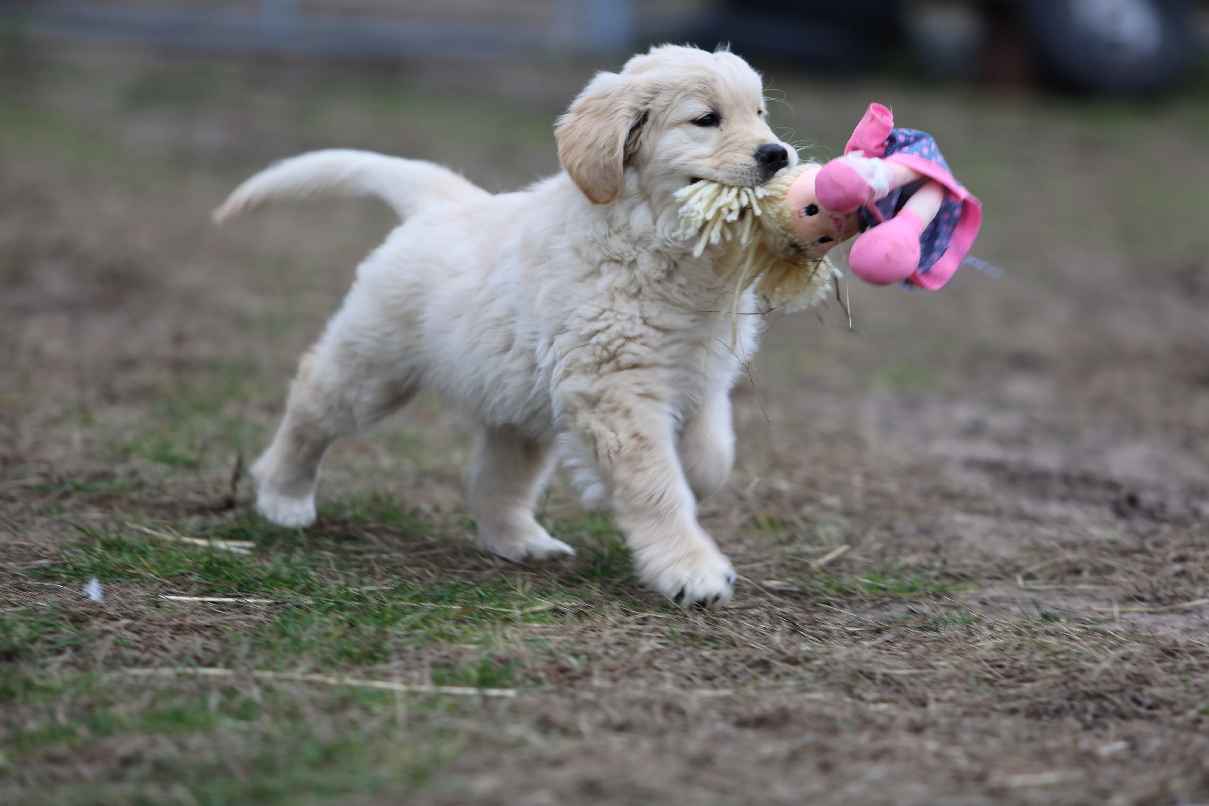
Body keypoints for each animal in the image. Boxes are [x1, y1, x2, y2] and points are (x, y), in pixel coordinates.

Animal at [216, 44, 797, 604]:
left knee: (497, 479)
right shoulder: (614, 391)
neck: (659, 241)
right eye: (706, 119)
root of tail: (444, 204)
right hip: (372, 367)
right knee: (311, 408)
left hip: (517, 402)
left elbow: (712, 456)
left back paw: (521, 541)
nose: (777, 154)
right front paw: (691, 570)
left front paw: (690, 480)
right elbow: (656, 486)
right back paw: (283, 495)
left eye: (760, 114)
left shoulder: (702, 371)